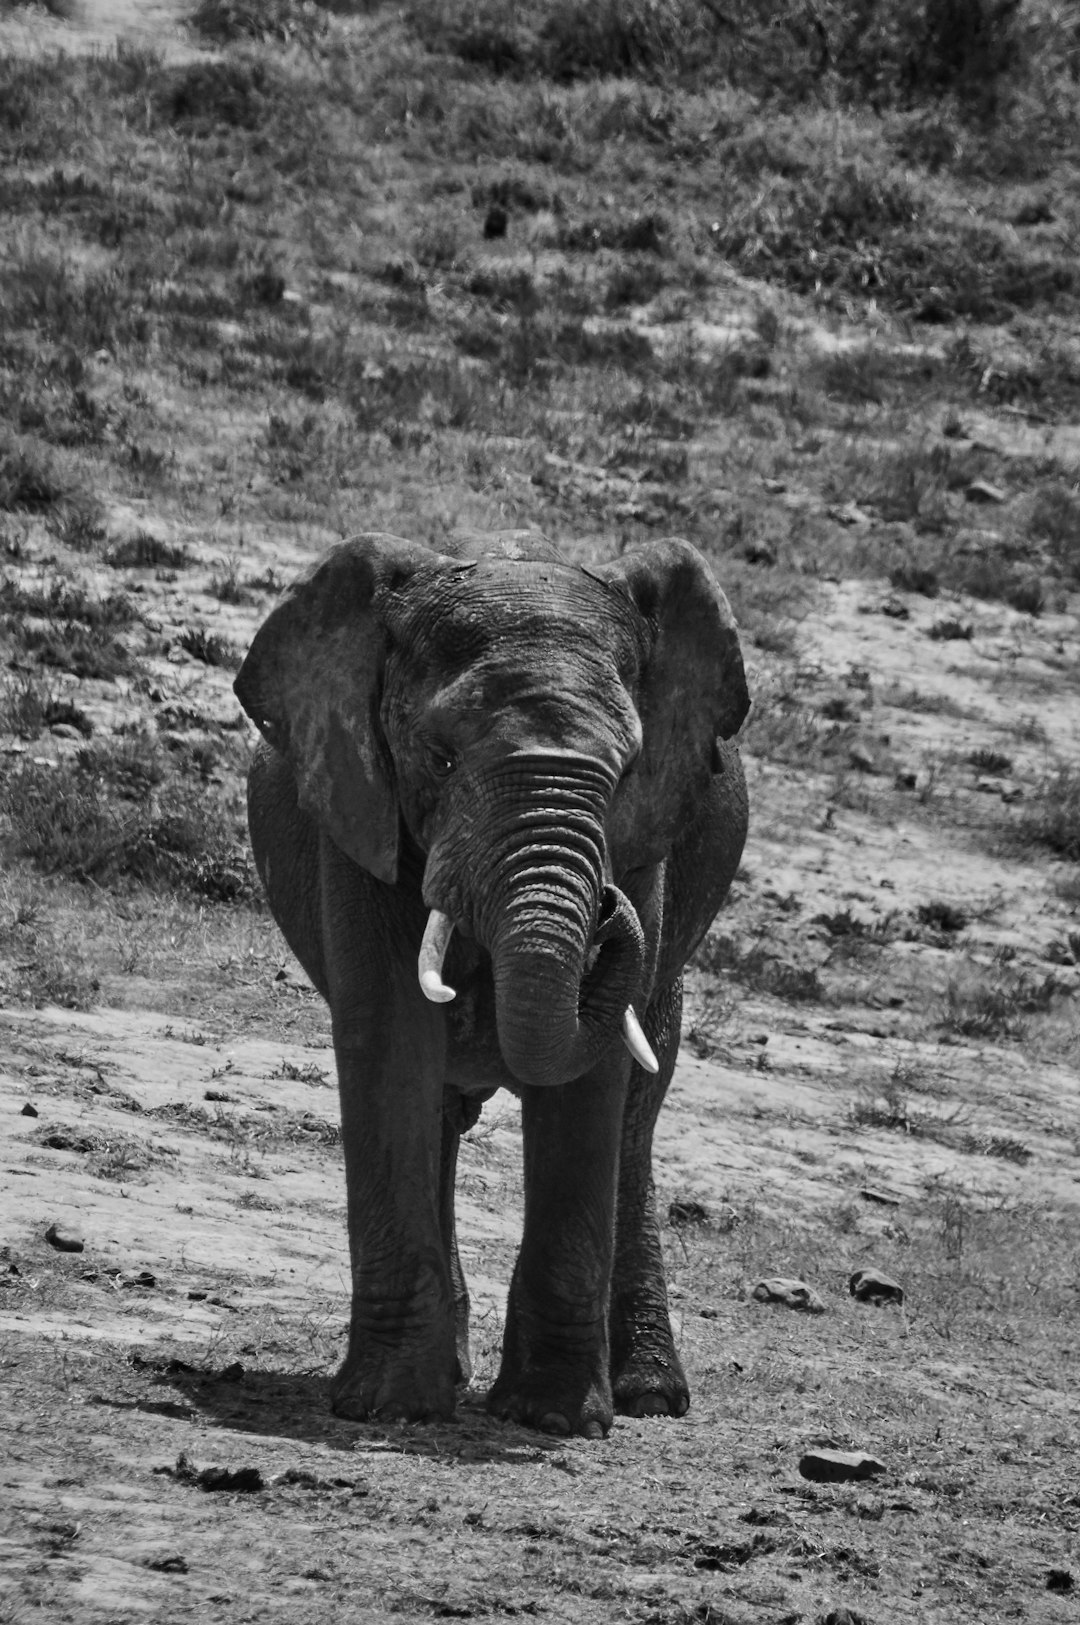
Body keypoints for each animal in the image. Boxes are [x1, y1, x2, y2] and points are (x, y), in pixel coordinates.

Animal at [232, 526, 747, 1443]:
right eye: (439, 758)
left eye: (627, 772)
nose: (608, 910)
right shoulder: (360, 804)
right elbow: (392, 1032)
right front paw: (390, 1407)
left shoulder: (651, 831)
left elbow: (593, 1084)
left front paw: (554, 1419)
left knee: (636, 1113)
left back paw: (648, 1396)